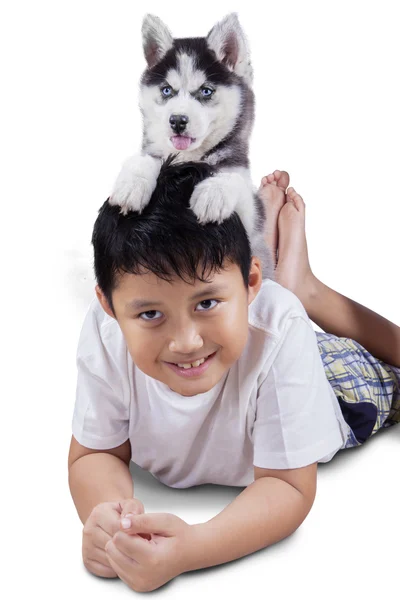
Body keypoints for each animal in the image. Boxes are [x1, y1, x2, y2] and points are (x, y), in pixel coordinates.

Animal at [110, 11, 276, 278]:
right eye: (167, 90)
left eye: (206, 91)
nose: (177, 121)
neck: (189, 157)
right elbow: (143, 159)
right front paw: (132, 184)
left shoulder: (252, 225)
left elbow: (234, 179)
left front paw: (213, 193)